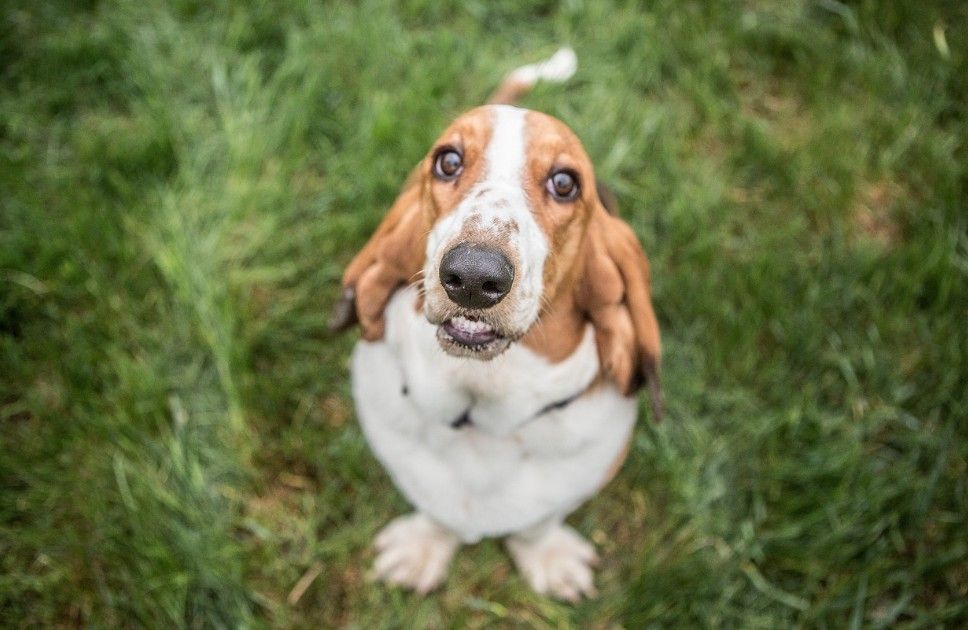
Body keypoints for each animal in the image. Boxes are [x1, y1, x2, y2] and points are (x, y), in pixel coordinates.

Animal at [328, 49, 660, 604]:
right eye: (448, 161)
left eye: (565, 183)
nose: (472, 276)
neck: (481, 408)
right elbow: (435, 511)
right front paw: (421, 550)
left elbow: (538, 524)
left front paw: (547, 558)